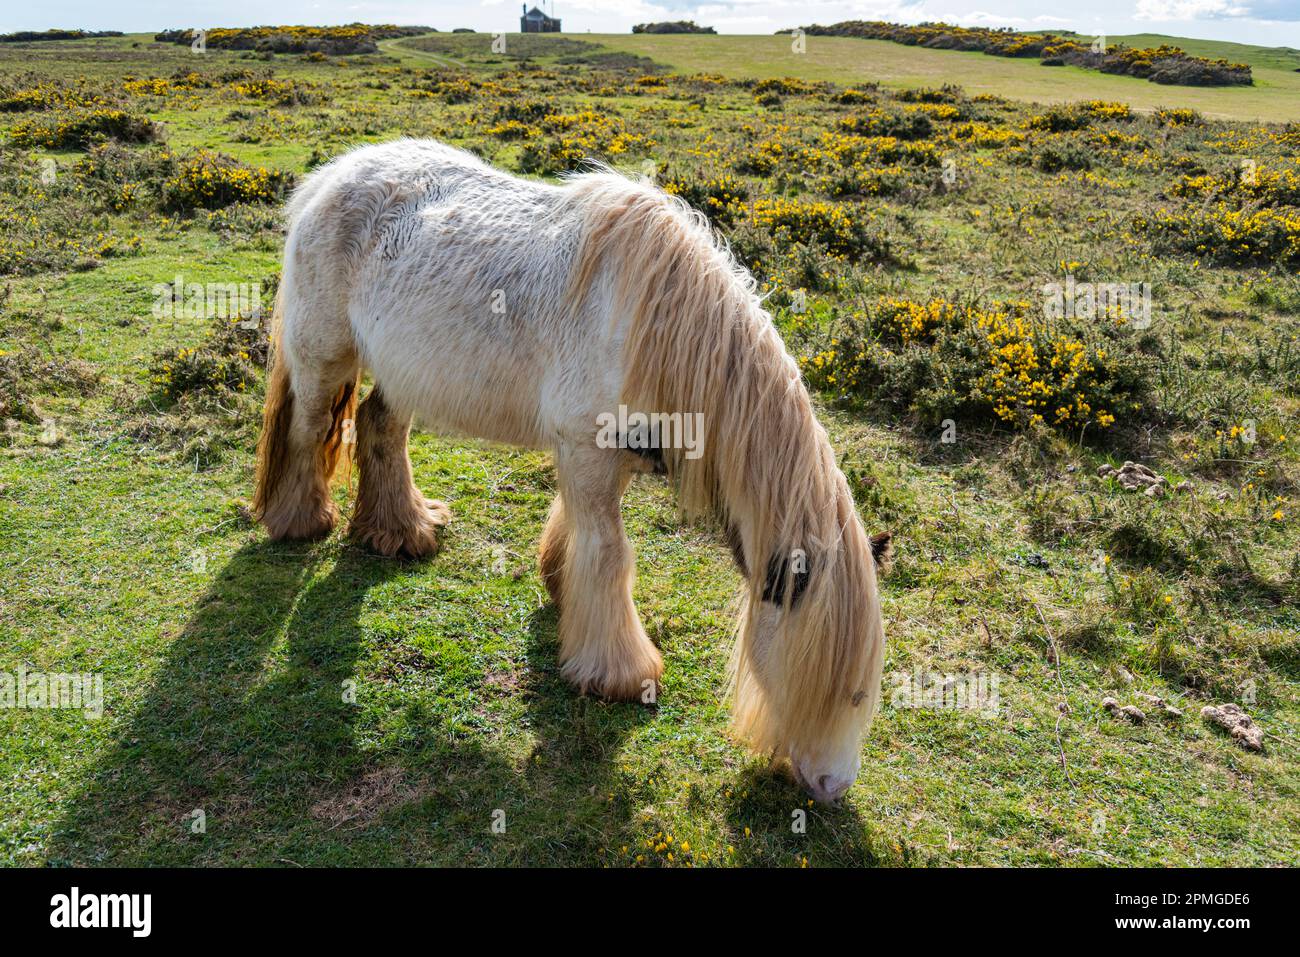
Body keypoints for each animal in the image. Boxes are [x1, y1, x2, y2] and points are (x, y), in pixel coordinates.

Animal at [252, 139, 888, 802]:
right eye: (838, 686)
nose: (834, 786)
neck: (658, 328)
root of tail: (334, 174)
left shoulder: (613, 455)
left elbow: (584, 535)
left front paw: (560, 584)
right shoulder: (585, 449)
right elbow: (609, 555)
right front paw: (619, 672)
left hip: (404, 373)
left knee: (381, 429)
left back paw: (403, 530)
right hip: (324, 359)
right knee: (307, 432)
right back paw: (301, 520)